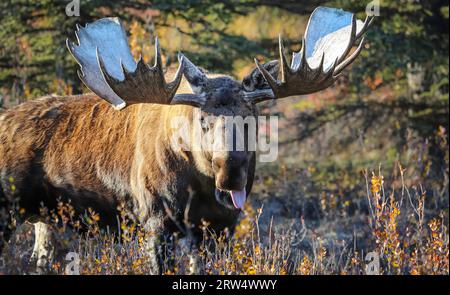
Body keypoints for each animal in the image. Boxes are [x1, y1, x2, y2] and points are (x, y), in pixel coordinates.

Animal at [0, 6, 372, 274]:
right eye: (203, 121)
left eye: (251, 118)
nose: (230, 173)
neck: (200, 186)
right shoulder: (155, 222)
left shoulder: (220, 228)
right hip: (8, 211)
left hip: (46, 221)